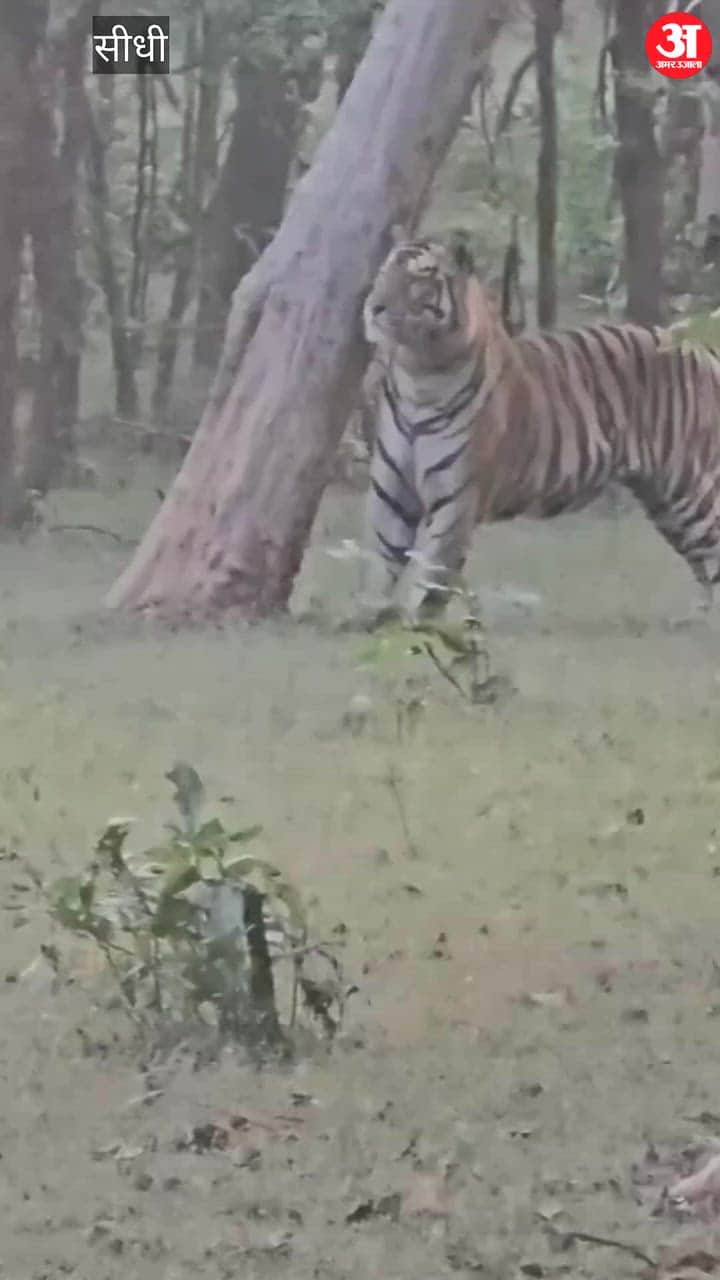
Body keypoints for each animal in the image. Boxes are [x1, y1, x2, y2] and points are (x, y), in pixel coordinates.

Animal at [360, 233, 720, 622]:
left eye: (420, 277)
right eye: (381, 273)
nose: (373, 307)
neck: (418, 373)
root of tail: (700, 347)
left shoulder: (457, 502)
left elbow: (431, 579)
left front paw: (417, 627)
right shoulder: (391, 495)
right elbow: (383, 570)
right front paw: (372, 620)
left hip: (691, 489)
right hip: (664, 504)